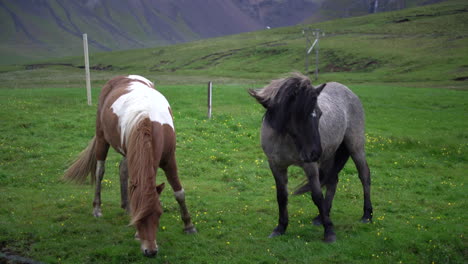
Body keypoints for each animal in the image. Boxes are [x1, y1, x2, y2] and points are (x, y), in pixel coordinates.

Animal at [64, 75, 196, 256]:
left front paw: (189, 225)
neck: (149, 124)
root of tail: (123, 77)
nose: (150, 251)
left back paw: (125, 205)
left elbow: (179, 192)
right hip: (102, 138)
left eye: (159, 214)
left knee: (123, 169)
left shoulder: (169, 159)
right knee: (100, 171)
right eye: (138, 219)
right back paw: (97, 208)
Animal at [249, 73, 372, 242]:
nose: (315, 153)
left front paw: (329, 232)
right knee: (333, 181)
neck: (286, 138)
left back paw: (367, 215)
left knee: (364, 175)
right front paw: (280, 228)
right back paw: (321, 217)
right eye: (298, 115)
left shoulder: (310, 167)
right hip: (329, 154)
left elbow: (317, 196)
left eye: (319, 114)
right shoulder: (276, 166)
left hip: (355, 146)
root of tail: (347, 90)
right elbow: (282, 196)